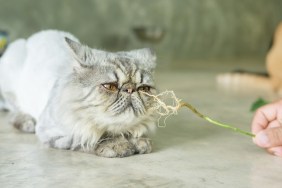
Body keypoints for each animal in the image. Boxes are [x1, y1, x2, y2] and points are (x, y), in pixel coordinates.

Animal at [0, 30, 159, 157]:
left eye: (143, 89)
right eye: (110, 86)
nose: (130, 89)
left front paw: (139, 142)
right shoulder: (55, 132)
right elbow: (93, 137)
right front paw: (118, 146)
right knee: (14, 112)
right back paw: (26, 122)